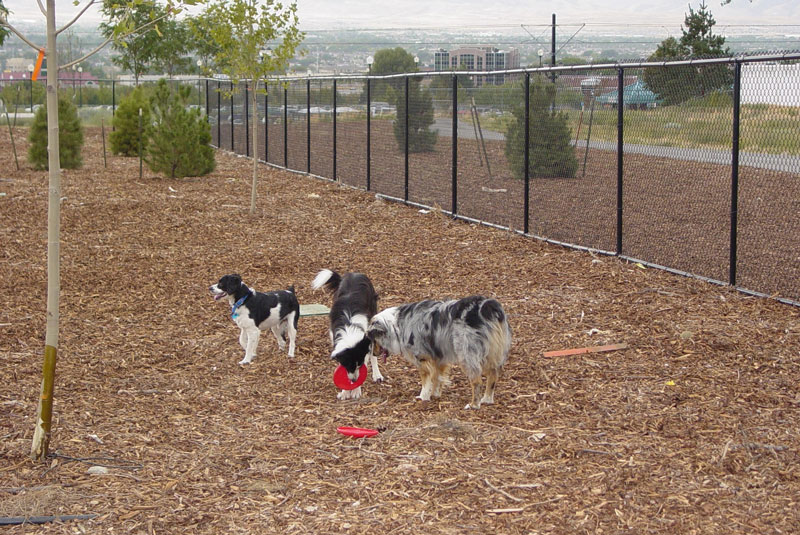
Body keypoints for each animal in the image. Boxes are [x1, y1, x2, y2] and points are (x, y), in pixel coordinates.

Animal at [312, 270, 384, 400]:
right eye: (348, 365)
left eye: (359, 364)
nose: (354, 380)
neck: (349, 327)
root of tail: (354, 273)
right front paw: (346, 391)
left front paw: (355, 390)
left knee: (373, 356)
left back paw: (377, 375)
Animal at [368, 298, 512, 410]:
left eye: (373, 339)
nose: (373, 353)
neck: (396, 325)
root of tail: (489, 307)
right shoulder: (439, 358)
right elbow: (437, 378)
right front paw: (435, 394)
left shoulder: (422, 358)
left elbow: (426, 381)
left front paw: (423, 397)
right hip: (492, 355)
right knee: (493, 376)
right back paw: (487, 399)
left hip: (467, 355)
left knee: (477, 381)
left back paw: (473, 405)